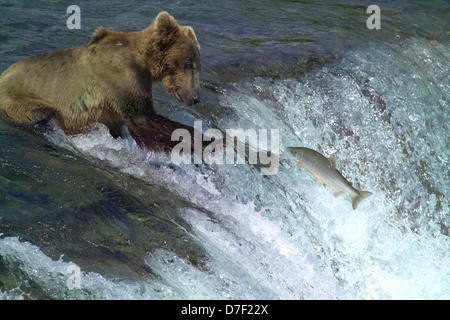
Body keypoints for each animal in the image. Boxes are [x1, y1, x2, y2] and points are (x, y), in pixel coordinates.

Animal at [0, 11, 202, 152]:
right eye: (188, 65)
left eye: (198, 66)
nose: (196, 97)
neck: (144, 64)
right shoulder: (122, 79)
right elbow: (144, 118)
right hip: (20, 100)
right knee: (44, 114)